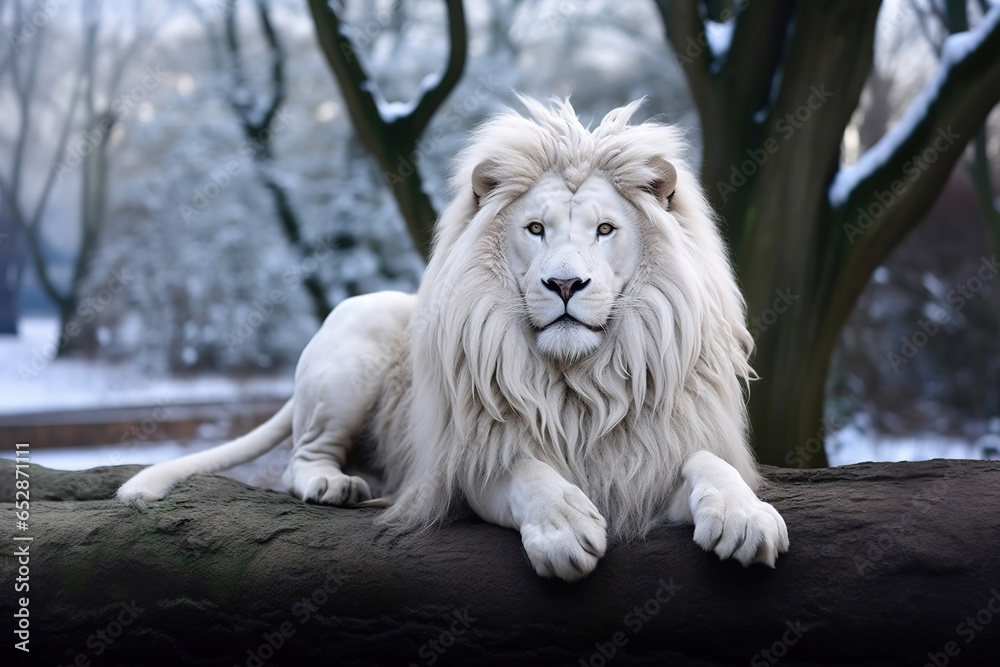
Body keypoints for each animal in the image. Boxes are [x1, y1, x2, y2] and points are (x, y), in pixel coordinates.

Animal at [117, 97, 788, 581]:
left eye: (605, 229)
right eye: (535, 229)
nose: (565, 283)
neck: (580, 381)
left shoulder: (649, 463)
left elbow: (709, 462)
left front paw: (745, 519)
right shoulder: (462, 474)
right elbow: (524, 469)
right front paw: (564, 529)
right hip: (359, 338)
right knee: (302, 457)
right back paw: (333, 485)